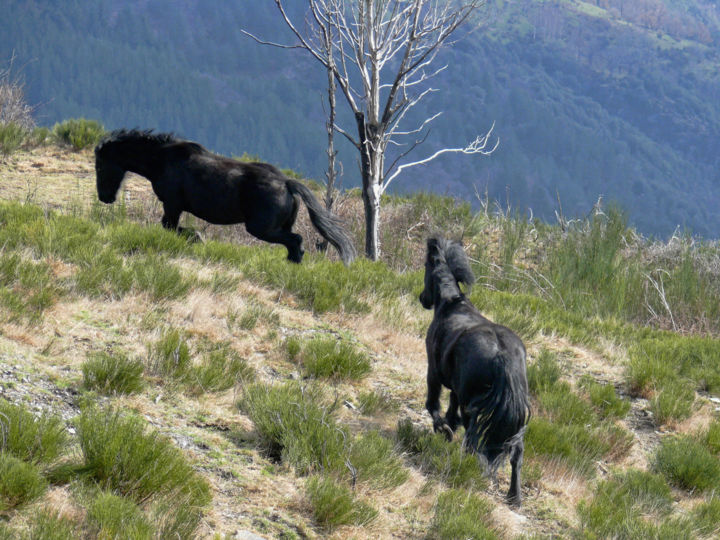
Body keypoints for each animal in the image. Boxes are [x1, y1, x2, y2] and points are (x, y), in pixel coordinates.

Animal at [93, 131, 358, 266]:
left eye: (100, 165)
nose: (104, 197)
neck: (163, 160)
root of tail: (286, 183)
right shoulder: (173, 206)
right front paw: (196, 237)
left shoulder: (172, 204)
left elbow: (169, 226)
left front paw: (196, 237)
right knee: (295, 243)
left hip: (261, 228)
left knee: (296, 240)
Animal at [420, 236, 532, 506]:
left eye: (426, 266)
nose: (422, 298)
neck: (451, 305)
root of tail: (502, 355)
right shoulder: (457, 390)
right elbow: (451, 409)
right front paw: (448, 427)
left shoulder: (433, 372)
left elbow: (433, 405)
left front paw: (443, 430)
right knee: (516, 453)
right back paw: (514, 497)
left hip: (472, 405)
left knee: (473, 442)